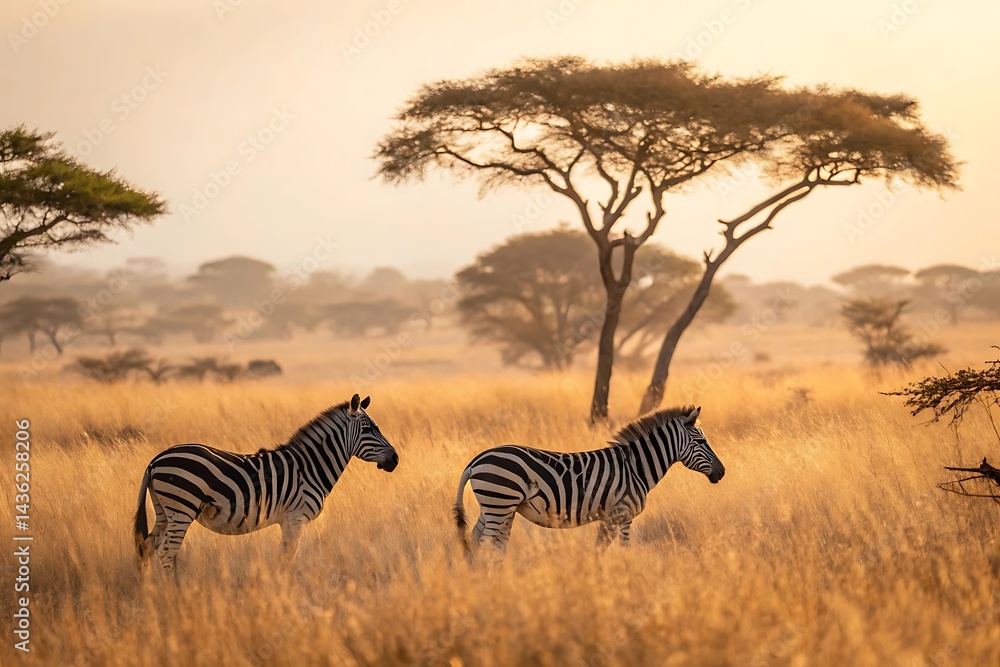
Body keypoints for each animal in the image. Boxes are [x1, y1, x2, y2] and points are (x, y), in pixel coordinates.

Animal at [132, 394, 397, 573]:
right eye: (369, 429)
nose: (395, 459)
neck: (309, 466)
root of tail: (155, 460)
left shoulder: (287, 520)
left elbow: (285, 555)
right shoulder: (296, 517)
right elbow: (290, 556)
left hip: (164, 510)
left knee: (147, 546)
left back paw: (149, 592)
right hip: (182, 508)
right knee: (167, 551)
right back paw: (173, 593)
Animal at [453, 405, 723, 559]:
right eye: (701, 442)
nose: (722, 472)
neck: (636, 468)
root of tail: (476, 460)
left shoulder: (618, 518)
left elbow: (612, 550)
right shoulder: (618, 514)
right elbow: (609, 551)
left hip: (494, 507)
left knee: (476, 542)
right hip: (500, 502)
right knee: (487, 543)